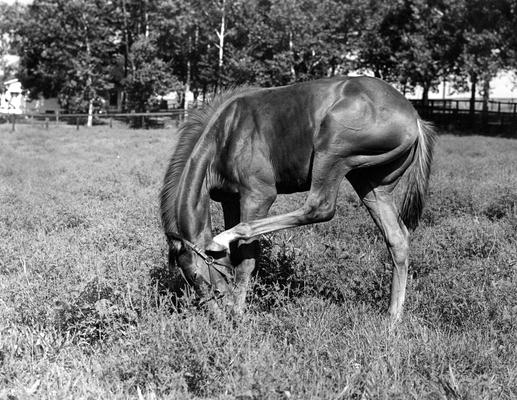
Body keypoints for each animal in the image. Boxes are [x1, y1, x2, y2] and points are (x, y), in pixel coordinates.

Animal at [159, 75, 434, 320]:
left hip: (332, 153)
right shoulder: (230, 200)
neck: (226, 133)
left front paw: (238, 313)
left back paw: (223, 238)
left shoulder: (257, 195)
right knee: (397, 238)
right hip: (371, 184)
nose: (218, 316)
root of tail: (415, 117)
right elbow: (236, 256)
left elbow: (246, 259)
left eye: (197, 275)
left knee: (319, 207)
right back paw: (393, 318)